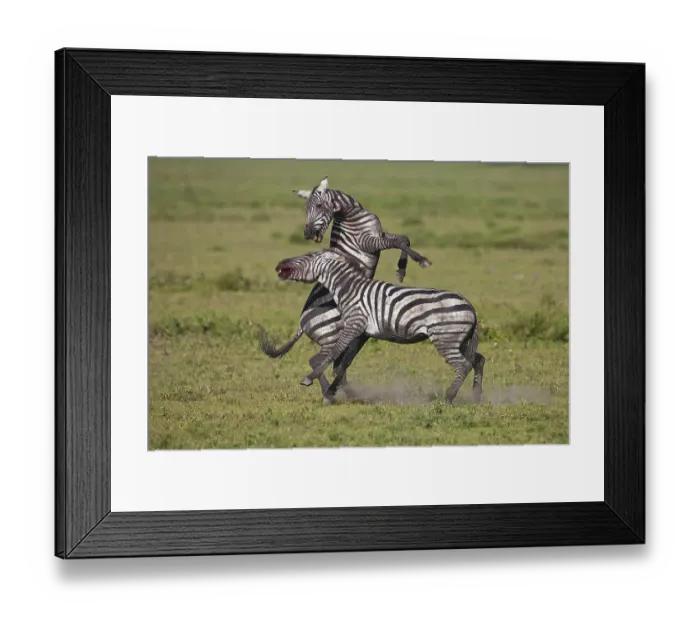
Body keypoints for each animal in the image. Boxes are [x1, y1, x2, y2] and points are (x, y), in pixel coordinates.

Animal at [258, 176, 433, 402]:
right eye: (306, 209)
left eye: (319, 206)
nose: (307, 234)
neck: (352, 215)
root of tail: (302, 323)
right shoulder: (368, 242)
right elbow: (400, 240)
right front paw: (417, 263)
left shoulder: (378, 234)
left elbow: (403, 238)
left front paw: (402, 269)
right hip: (332, 336)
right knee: (320, 361)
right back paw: (332, 394)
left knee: (335, 364)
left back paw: (343, 393)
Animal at [273, 247, 485, 405]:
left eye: (308, 256)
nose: (279, 264)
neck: (349, 289)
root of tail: (470, 305)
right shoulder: (361, 332)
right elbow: (342, 363)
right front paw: (331, 391)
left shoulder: (355, 324)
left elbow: (334, 353)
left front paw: (310, 380)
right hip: (461, 340)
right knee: (478, 360)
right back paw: (476, 395)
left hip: (445, 338)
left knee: (463, 365)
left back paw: (449, 396)